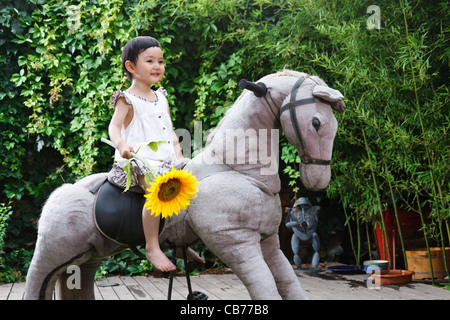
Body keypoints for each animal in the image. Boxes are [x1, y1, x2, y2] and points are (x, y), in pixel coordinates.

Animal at [23, 70, 344, 300]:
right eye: (316, 122)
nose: (318, 179)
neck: (238, 169)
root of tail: (60, 193)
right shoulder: (234, 240)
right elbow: (265, 287)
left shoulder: (267, 241)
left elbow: (289, 284)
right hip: (51, 252)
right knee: (35, 281)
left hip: (88, 256)